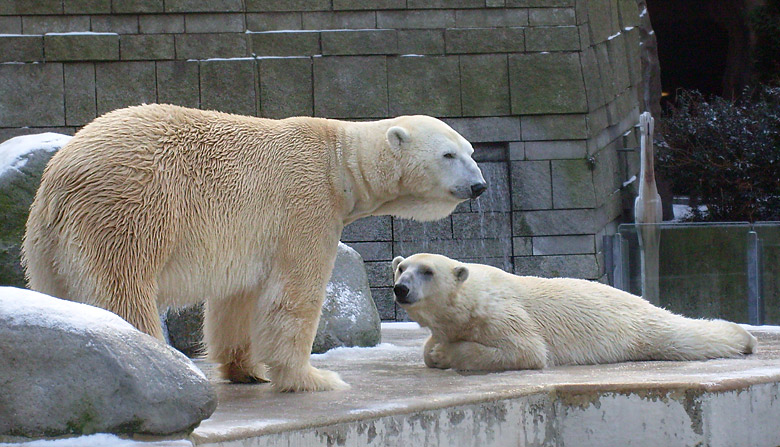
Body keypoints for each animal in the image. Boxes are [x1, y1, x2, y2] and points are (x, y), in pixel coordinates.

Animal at [21, 105, 484, 392]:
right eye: (448, 154)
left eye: (471, 150)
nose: (479, 185)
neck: (340, 163)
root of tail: (62, 171)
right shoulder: (306, 205)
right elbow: (294, 296)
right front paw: (311, 378)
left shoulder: (251, 238)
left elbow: (238, 299)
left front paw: (247, 371)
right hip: (131, 208)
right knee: (123, 290)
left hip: (47, 241)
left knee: (58, 291)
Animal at [390, 254, 756, 372]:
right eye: (402, 268)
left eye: (427, 271)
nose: (401, 289)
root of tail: (641, 300)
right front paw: (435, 349)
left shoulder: (500, 314)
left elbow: (525, 350)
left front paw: (444, 353)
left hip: (637, 328)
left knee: (683, 337)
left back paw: (744, 337)